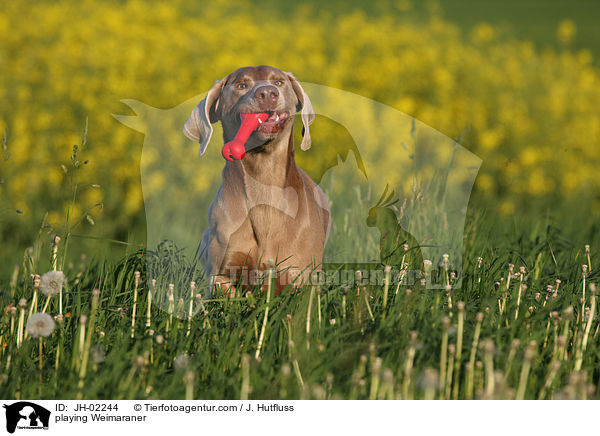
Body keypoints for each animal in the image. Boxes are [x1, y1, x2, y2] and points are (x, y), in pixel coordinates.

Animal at [184, 64, 330, 294]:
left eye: (278, 82)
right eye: (242, 85)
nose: (268, 93)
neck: (263, 180)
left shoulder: (301, 275)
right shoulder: (222, 272)